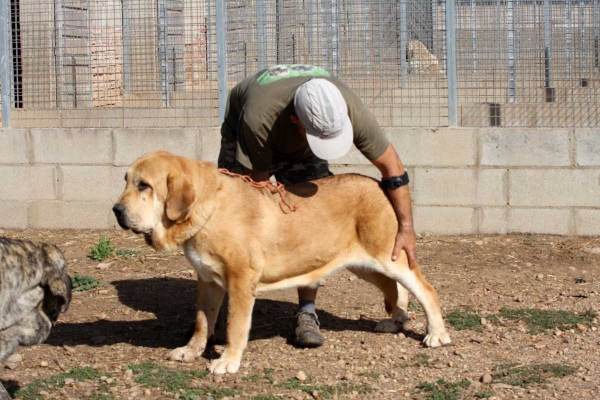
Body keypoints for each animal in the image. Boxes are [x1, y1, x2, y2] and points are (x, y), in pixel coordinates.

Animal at [112, 150, 450, 376]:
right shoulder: (207, 282)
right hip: (365, 265)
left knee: (425, 289)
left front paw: (228, 361)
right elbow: (201, 322)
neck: (206, 209)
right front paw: (191, 352)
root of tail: (379, 184)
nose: (116, 210)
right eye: (126, 180)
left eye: (144, 185)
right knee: (397, 290)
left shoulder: (240, 282)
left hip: (385, 258)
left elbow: (235, 326)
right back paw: (396, 321)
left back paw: (436, 334)